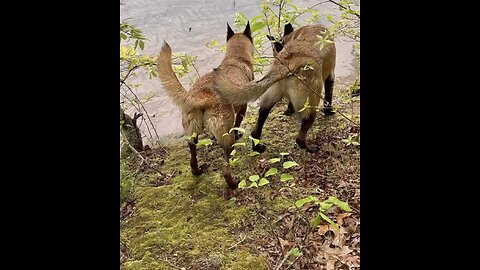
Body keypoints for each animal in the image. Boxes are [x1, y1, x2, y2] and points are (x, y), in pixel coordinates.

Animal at [157, 22, 255, 188]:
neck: (235, 58)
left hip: (191, 129)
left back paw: (196, 170)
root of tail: (202, 98)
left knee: (192, 150)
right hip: (226, 136)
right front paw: (238, 134)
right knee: (226, 168)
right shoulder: (243, 108)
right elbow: (238, 124)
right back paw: (233, 183)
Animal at [216, 24, 336, 153]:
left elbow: (290, 103)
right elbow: (328, 98)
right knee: (300, 136)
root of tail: (286, 64)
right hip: (311, 101)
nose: (275, 55)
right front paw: (329, 112)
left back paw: (257, 147)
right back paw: (311, 149)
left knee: (258, 124)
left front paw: (288, 111)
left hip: (270, 97)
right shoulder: (330, 77)